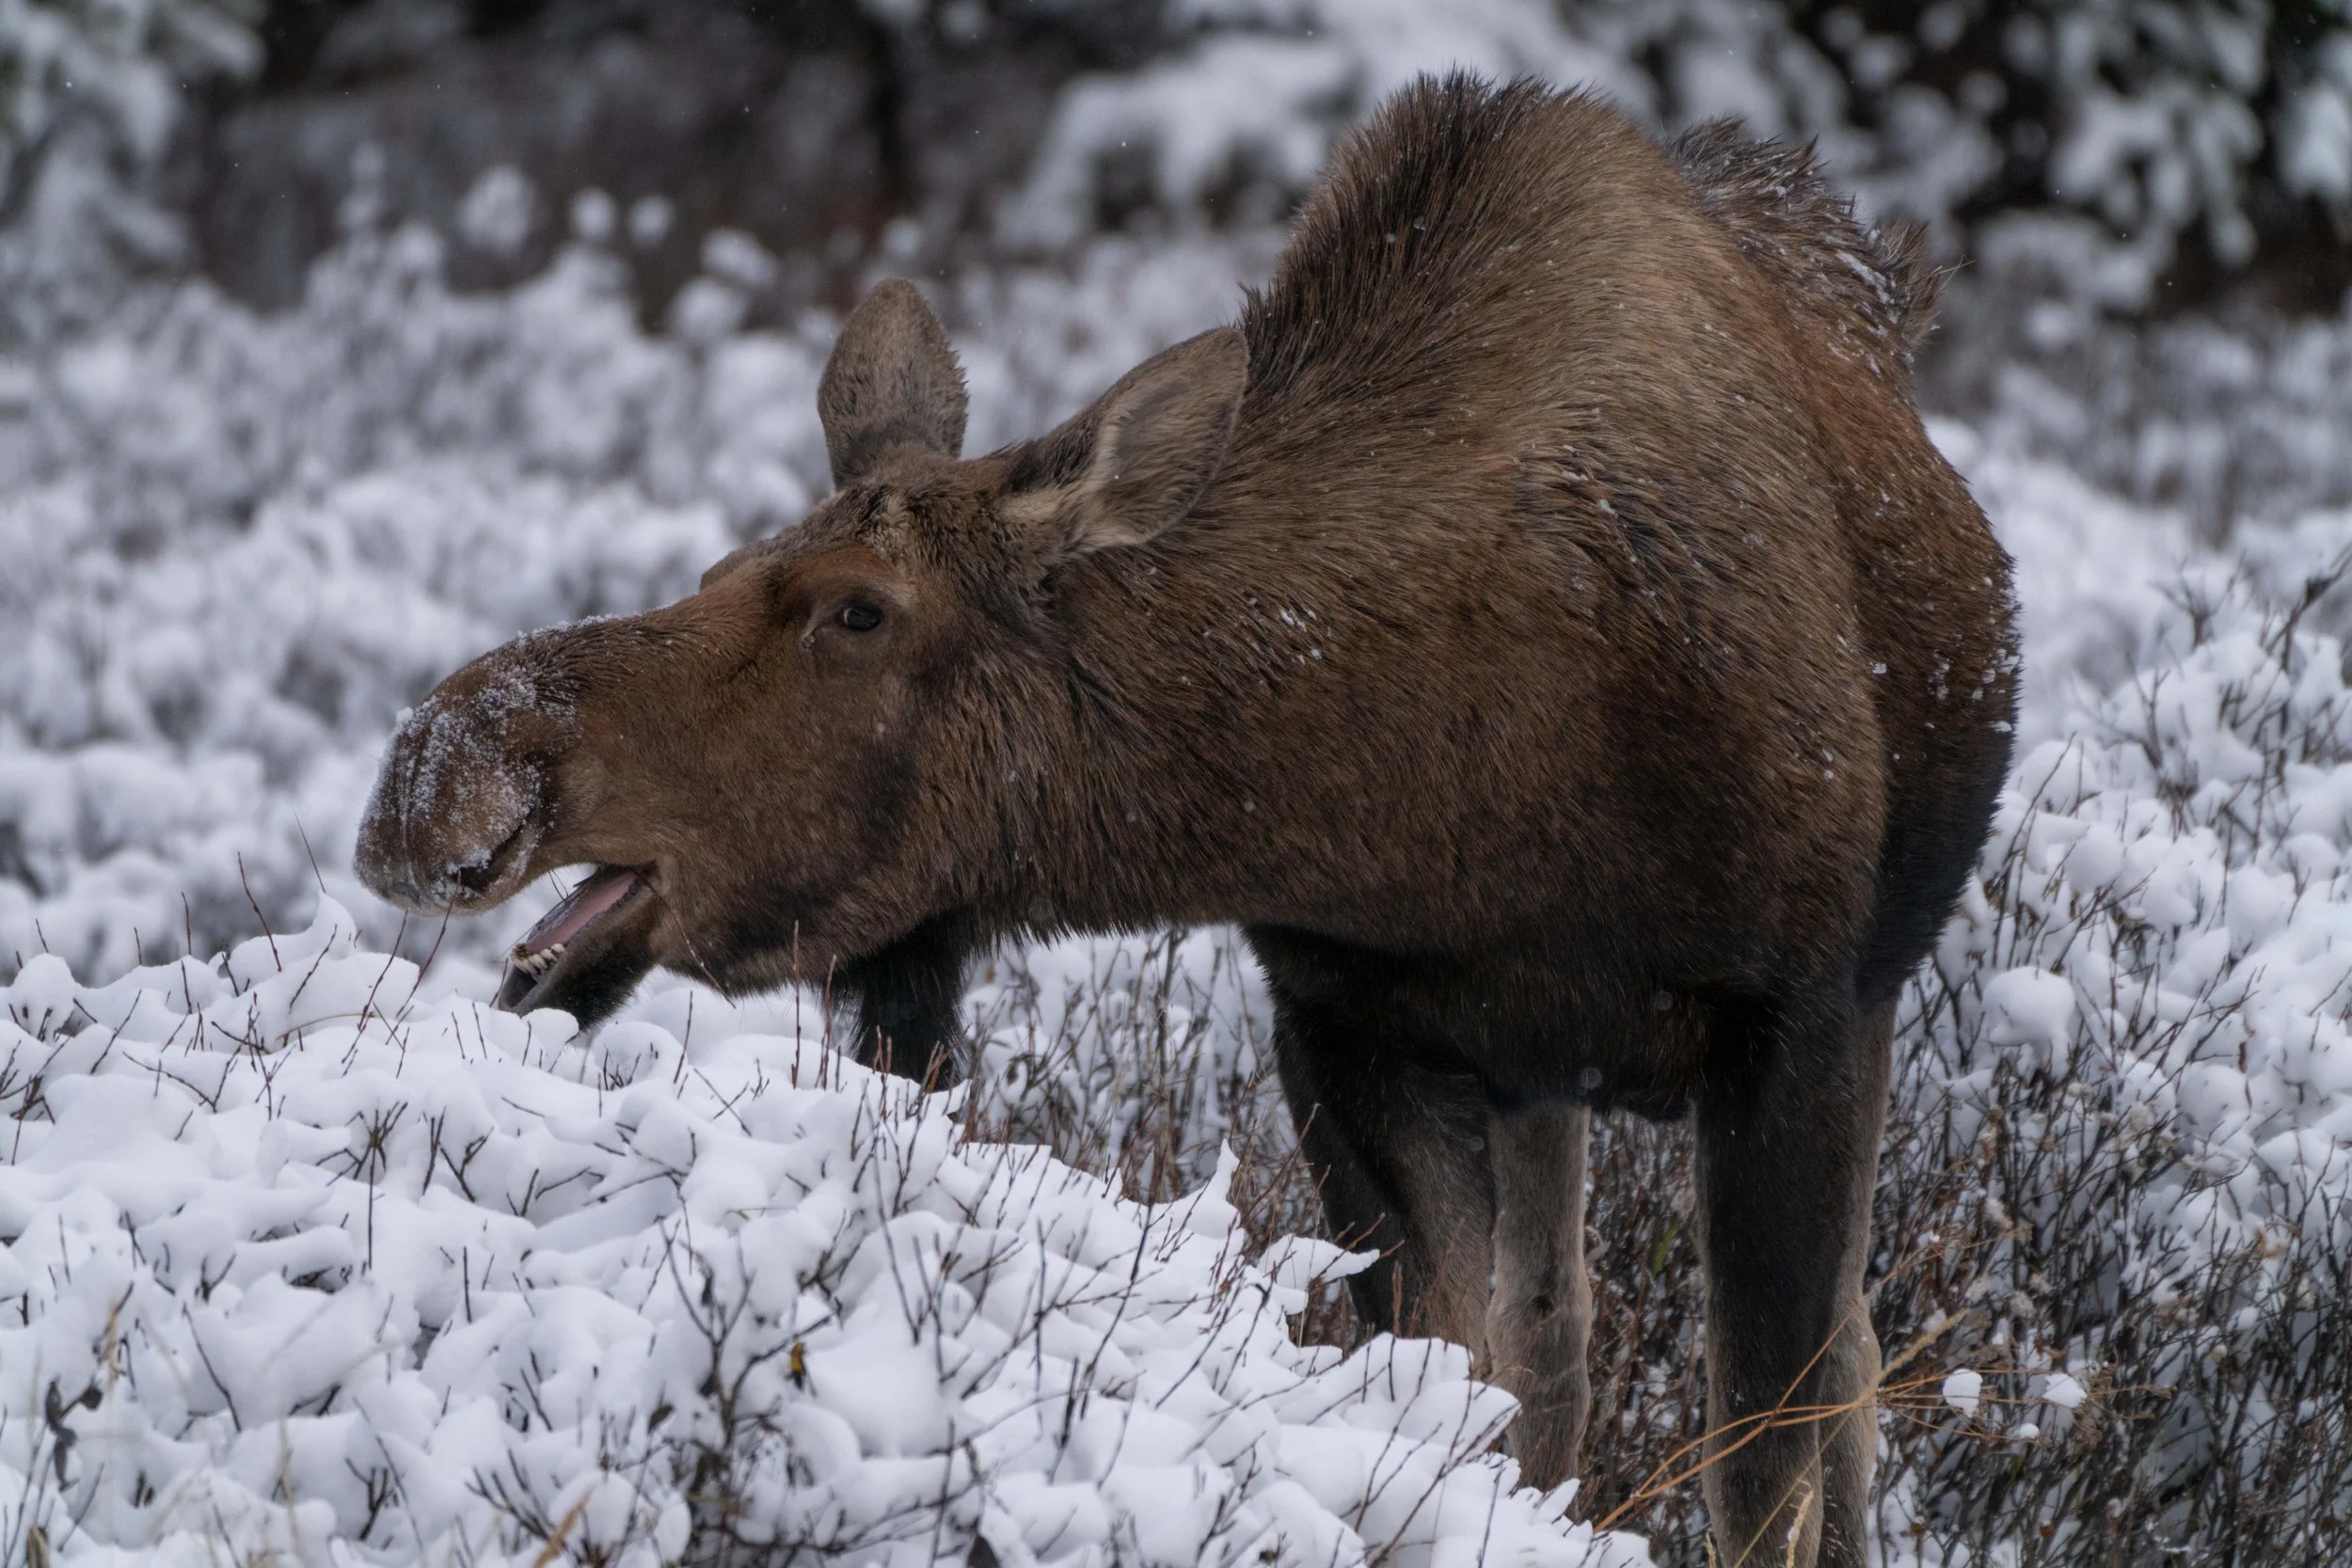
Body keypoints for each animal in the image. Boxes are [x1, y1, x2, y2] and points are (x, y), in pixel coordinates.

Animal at [356, 74, 2018, 1566]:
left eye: (857, 608)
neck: (1461, 792)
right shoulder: (1352, 1022)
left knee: (1847, 1372)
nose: (435, 770)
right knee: (1563, 1352)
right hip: (1545, 1073)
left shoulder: (1790, 1017)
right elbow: (1451, 1409)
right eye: (716, 567)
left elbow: (1769, 1474)